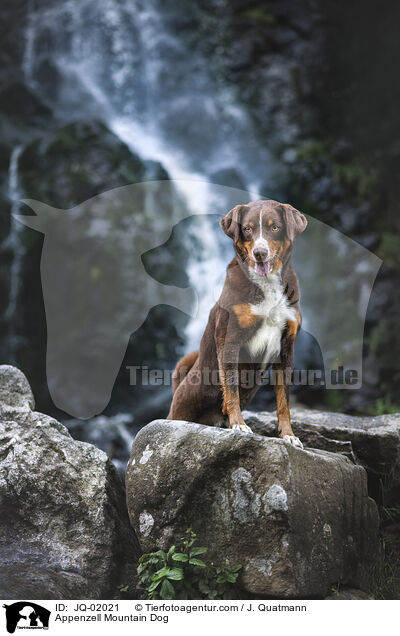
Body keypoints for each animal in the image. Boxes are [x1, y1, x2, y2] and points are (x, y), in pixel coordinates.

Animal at [167, 199, 308, 448]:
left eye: (275, 227)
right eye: (247, 229)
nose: (260, 253)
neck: (266, 285)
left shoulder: (286, 348)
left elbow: (284, 400)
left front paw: (288, 435)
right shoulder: (230, 340)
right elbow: (231, 387)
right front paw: (239, 424)